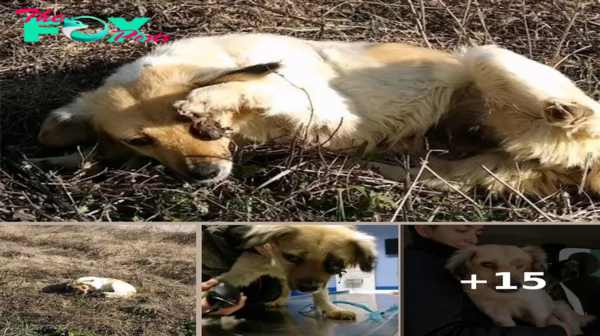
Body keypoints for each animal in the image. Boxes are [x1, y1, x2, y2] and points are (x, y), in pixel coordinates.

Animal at [30, 32, 600, 196]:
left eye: (186, 127)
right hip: (474, 168)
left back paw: (564, 107)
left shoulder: (325, 110)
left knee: (580, 116)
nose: (204, 176)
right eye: (140, 142)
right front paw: (64, 158)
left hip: (486, 56)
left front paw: (209, 102)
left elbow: (257, 88)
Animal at [211, 224, 378, 318]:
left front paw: (331, 310)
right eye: (290, 257)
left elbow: (322, 295)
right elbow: (225, 279)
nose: (308, 288)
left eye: (335, 263)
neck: (277, 263)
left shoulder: (320, 282)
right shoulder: (245, 268)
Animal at [448, 244, 592, 336]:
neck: (505, 297)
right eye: (487, 264)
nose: (514, 285)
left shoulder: (536, 307)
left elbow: (541, 322)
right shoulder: (499, 315)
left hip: (562, 309)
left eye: (520, 264)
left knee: (574, 327)